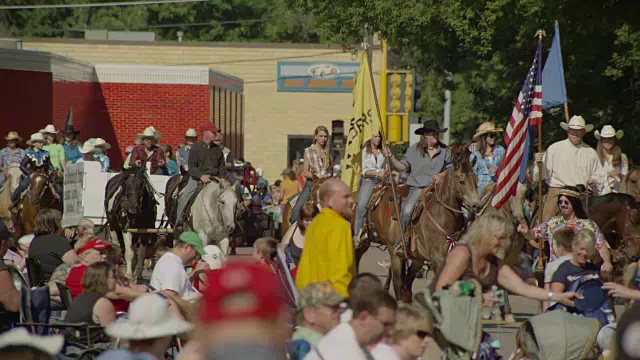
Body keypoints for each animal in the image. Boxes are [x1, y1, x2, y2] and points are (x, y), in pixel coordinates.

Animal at [356, 143, 480, 300]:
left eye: (476, 180)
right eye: (461, 180)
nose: (476, 205)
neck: (443, 214)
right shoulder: (437, 258)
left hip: (415, 259)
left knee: (407, 286)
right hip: (390, 251)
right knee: (397, 284)